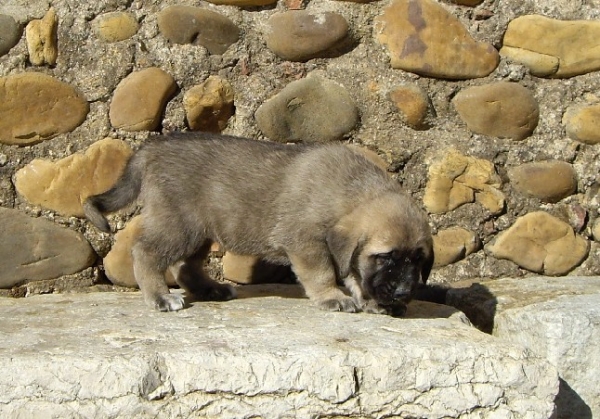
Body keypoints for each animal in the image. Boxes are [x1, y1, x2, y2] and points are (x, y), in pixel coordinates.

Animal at [84, 133, 432, 316]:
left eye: (418, 260)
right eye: (385, 257)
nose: (403, 293)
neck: (352, 192)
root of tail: (150, 149)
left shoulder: (346, 251)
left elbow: (356, 274)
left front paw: (369, 300)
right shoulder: (307, 244)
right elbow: (323, 273)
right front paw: (333, 297)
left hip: (200, 231)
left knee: (185, 266)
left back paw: (210, 289)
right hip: (179, 225)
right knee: (146, 252)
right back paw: (160, 296)